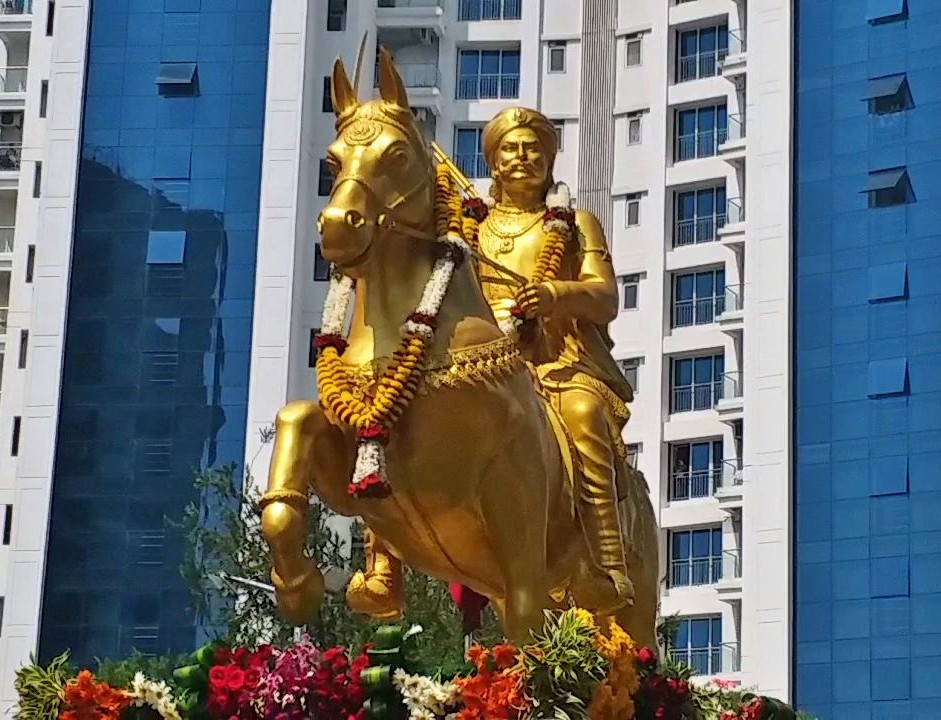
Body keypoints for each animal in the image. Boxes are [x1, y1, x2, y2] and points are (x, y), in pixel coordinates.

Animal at [255, 50, 652, 648]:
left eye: (397, 153)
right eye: (331, 158)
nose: (338, 228)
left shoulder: (513, 506)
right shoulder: (364, 489)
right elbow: (297, 419)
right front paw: (298, 586)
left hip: (630, 598)